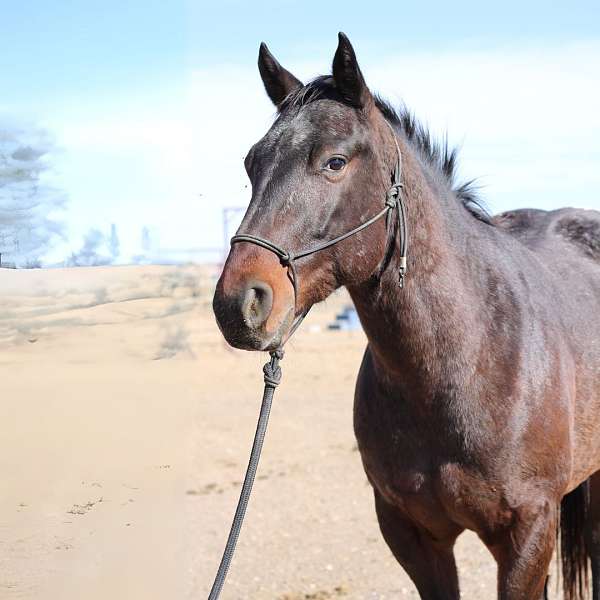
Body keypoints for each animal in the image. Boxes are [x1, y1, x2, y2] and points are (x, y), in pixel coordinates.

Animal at [211, 34, 600, 600]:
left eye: (335, 162)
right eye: (251, 163)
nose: (238, 303)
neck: (465, 362)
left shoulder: (528, 532)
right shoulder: (412, 534)